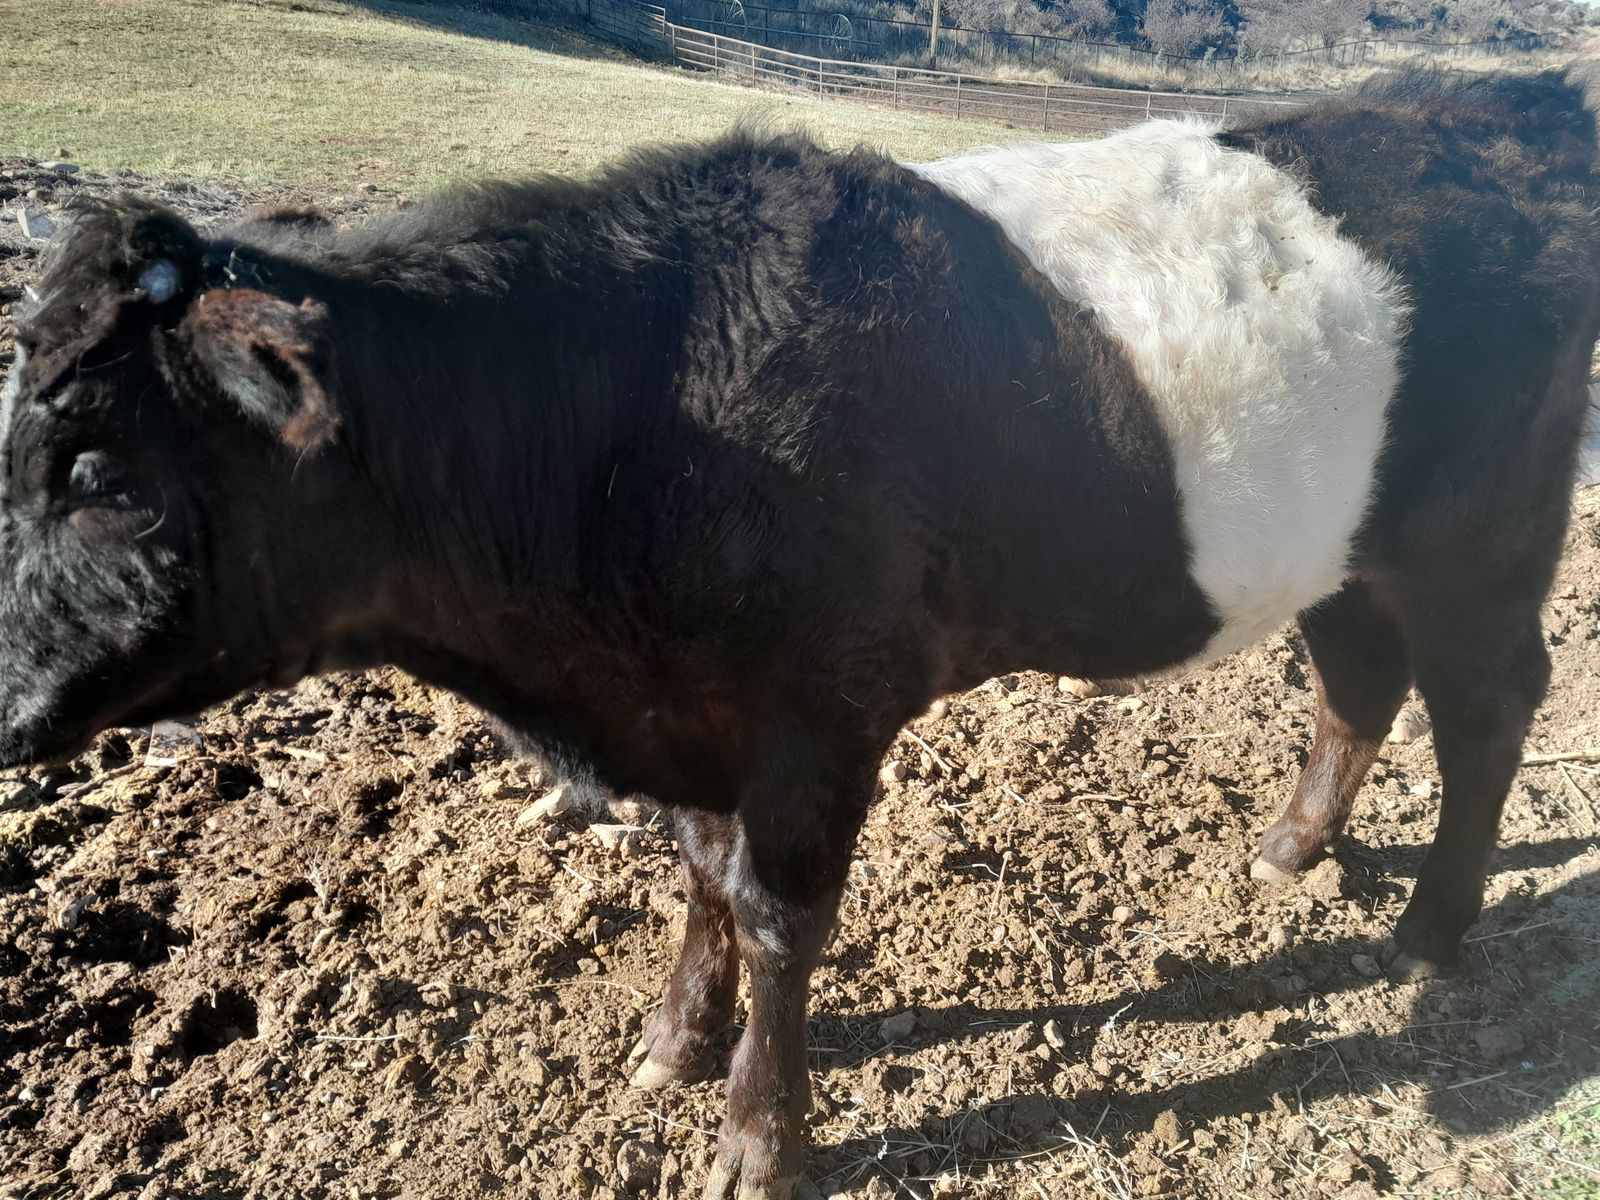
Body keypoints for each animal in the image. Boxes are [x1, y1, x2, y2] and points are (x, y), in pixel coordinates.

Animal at [2, 68, 1597, 1200]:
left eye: (98, 474)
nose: (6, 701)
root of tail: (1497, 100)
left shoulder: (822, 714)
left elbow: (780, 917)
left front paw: (762, 1141)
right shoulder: (700, 716)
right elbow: (700, 875)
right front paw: (672, 1043)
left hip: (1483, 541)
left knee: (1490, 701)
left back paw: (1430, 928)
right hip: (1341, 549)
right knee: (1360, 681)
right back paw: (1294, 849)